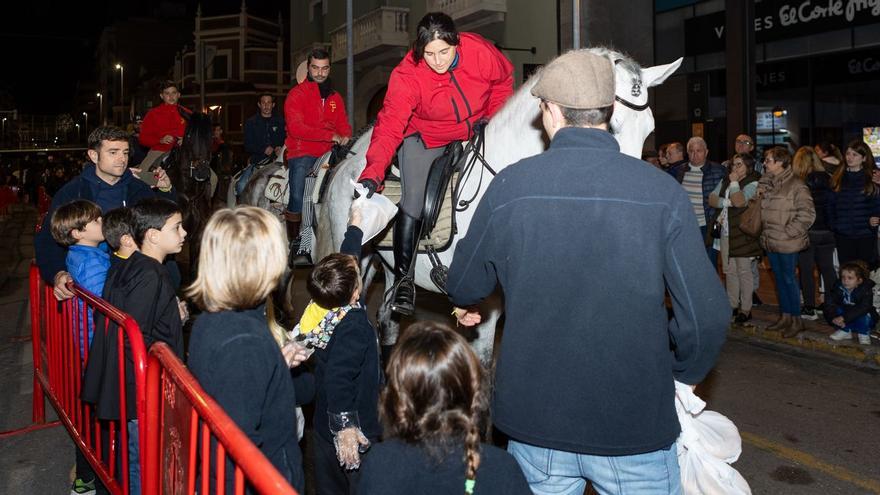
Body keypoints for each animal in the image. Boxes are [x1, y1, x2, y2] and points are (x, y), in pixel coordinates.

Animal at [314, 47, 680, 360]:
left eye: (649, 129)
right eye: (610, 126)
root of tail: (350, 161)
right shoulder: (486, 303)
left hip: (385, 264)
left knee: (387, 320)